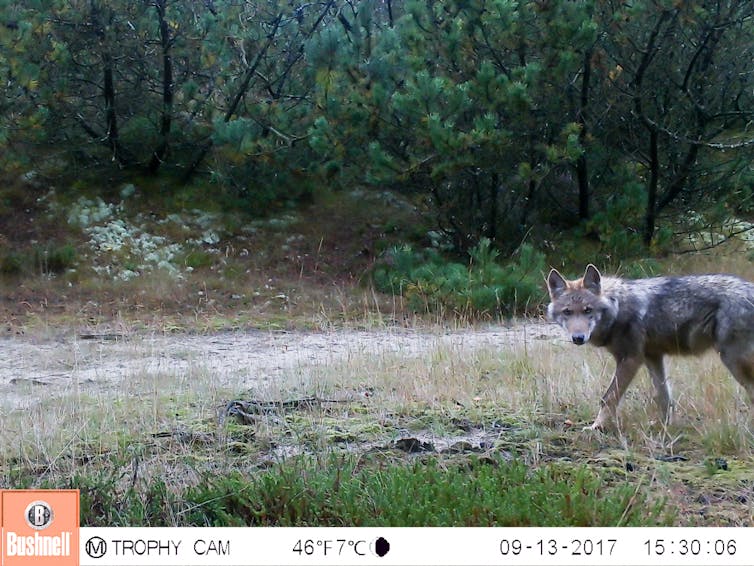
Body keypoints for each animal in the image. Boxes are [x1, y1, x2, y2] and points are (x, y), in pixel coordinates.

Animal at [546, 264, 754, 430]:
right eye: (567, 312)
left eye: (588, 310)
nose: (578, 338)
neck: (617, 308)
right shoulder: (652, 357)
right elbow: (663, 396)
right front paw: (665, 426)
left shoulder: (630, 359)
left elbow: (608, 397)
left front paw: (595, 427)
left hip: (732, 360)